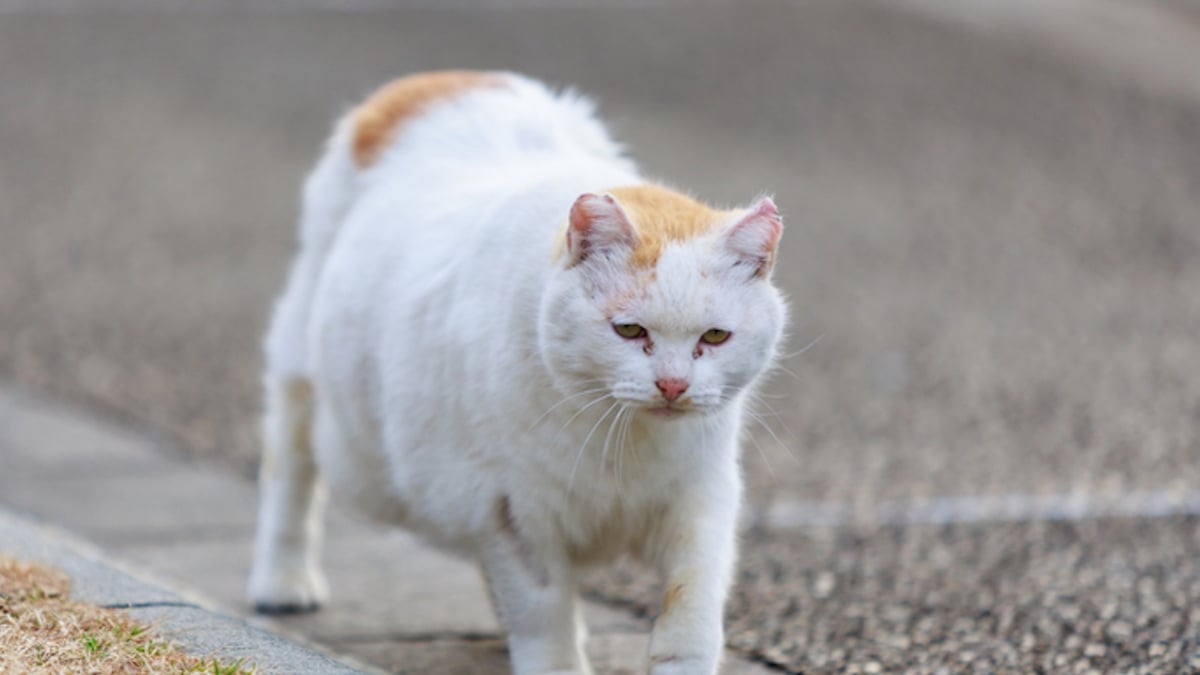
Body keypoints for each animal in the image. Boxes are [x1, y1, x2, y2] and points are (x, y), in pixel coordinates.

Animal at [246, 69, 787, 672]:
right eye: (629, 331)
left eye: (713, 337)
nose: (673, 385)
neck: (624, 438)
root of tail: (437, 81)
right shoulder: (510, 509)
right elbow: (542, 607)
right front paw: (553, 659)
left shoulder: (701, 499)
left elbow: (691, 606)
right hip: (303, 377)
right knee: (289, 472)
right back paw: (284, 583)